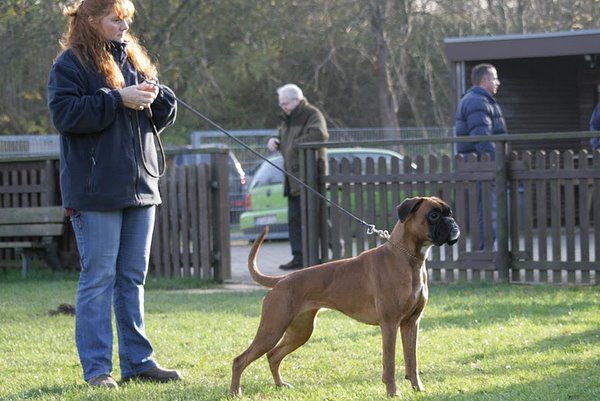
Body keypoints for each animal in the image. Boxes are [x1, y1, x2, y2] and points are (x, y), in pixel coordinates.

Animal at [230, 195, 460, 396]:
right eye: (433, 215)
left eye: (449, 213)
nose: (452, 222)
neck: (408, 257)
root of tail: (282, 280)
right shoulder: (390, 324)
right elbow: (390, 362)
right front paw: (392, 392)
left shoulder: (411, 323)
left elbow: (412, 361)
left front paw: (418, 389)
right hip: (272, 329)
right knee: (240, 360)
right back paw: (235, 392)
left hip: (300, 332)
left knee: (273, 355)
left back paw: (280, 385)